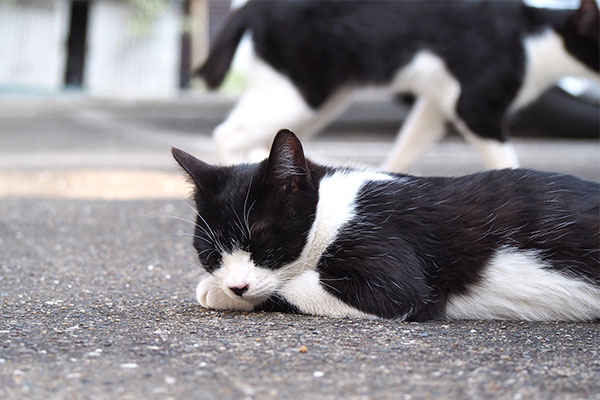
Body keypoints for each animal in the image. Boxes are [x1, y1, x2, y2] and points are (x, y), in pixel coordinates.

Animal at [172, 130, 600, 322]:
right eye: (211, 254)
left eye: (263, 245)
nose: (236, 285)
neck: (335, 210)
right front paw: (218, 285)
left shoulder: (384, 254)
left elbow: (294, 286)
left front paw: (220, 293)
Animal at [196, 0, 600, 170]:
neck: (536, 36)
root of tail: (253, 5)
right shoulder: (476, 105)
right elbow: (506, 160)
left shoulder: (438, 104)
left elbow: (409, 142)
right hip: (301, 93)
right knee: (226, 133)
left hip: (315, 100)